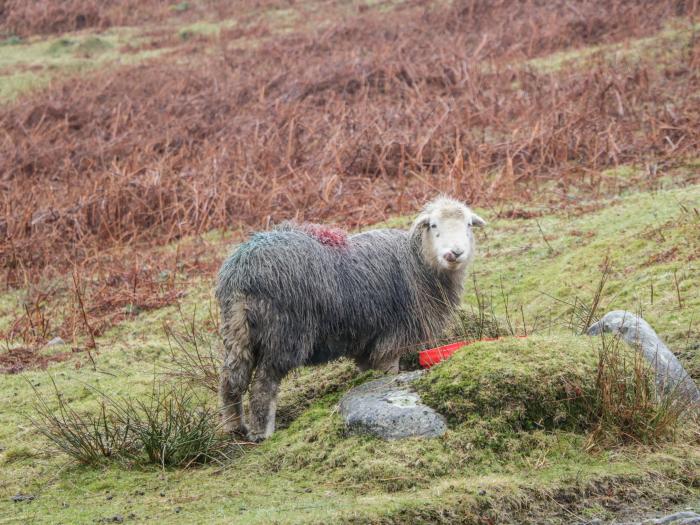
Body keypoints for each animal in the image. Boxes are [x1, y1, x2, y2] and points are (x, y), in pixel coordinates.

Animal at [219, 194, 486, 440]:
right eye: (433, 225)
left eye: (468, 225)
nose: (455, 253)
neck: (418, 263)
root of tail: (244, 271)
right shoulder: (393, 337)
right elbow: (389, 372)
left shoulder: (366, 341)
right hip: (285, 333)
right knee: (264, 385)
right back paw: (263, 433)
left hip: (236, 330)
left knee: (231, 379)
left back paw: (233, 427)